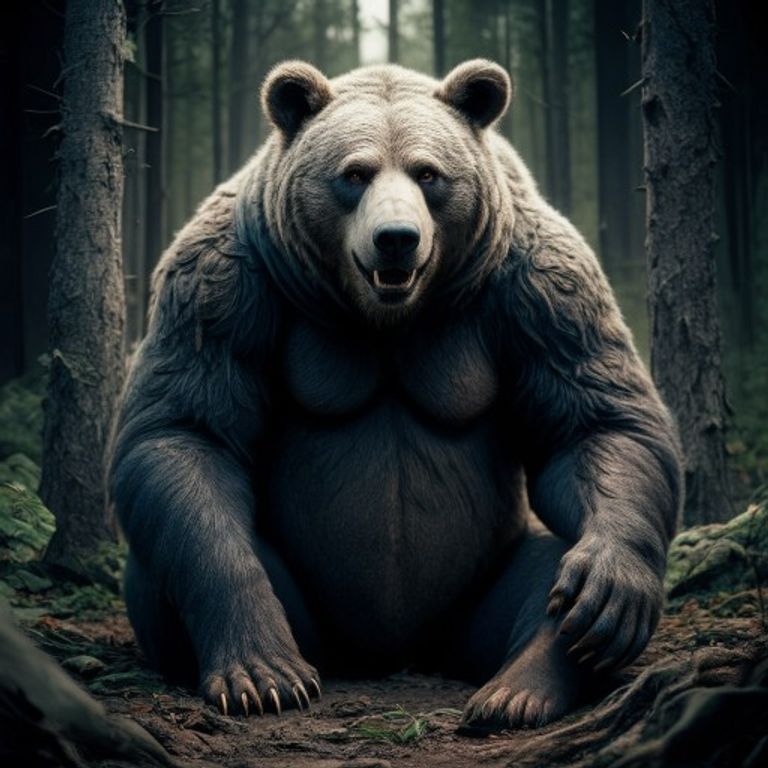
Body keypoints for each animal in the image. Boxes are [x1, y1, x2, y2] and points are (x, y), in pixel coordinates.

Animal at [109, 59, 682, 730]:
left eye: (428, 172)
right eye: (354, 173)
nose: (396, 238)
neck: (388, 313)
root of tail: (396, 653)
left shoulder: (538, 287)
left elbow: (594, 420)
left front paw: (609, 590)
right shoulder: (226, 284)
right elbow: (185, 428)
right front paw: (262, 674)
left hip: (472, 603)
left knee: (552, 558)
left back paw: (521, 687)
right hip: (318, 616)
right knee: (172, 545)